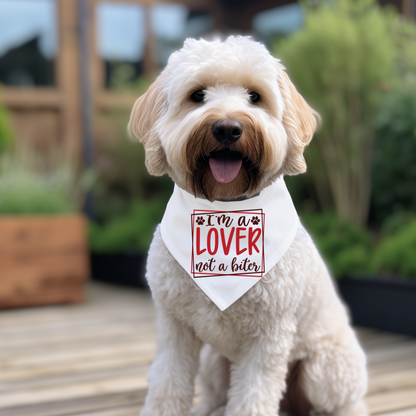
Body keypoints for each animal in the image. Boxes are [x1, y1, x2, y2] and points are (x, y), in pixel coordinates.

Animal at [127, 35, 368, 416]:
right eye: (198, 95)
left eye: (255, 96)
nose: (228, 128)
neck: (226, 210)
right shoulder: (174, 328)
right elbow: (167, 385)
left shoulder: (268, 337)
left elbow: (253, 397)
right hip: (214, 361)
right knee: (217, 396)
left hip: (325, 369)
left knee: (342, 404)